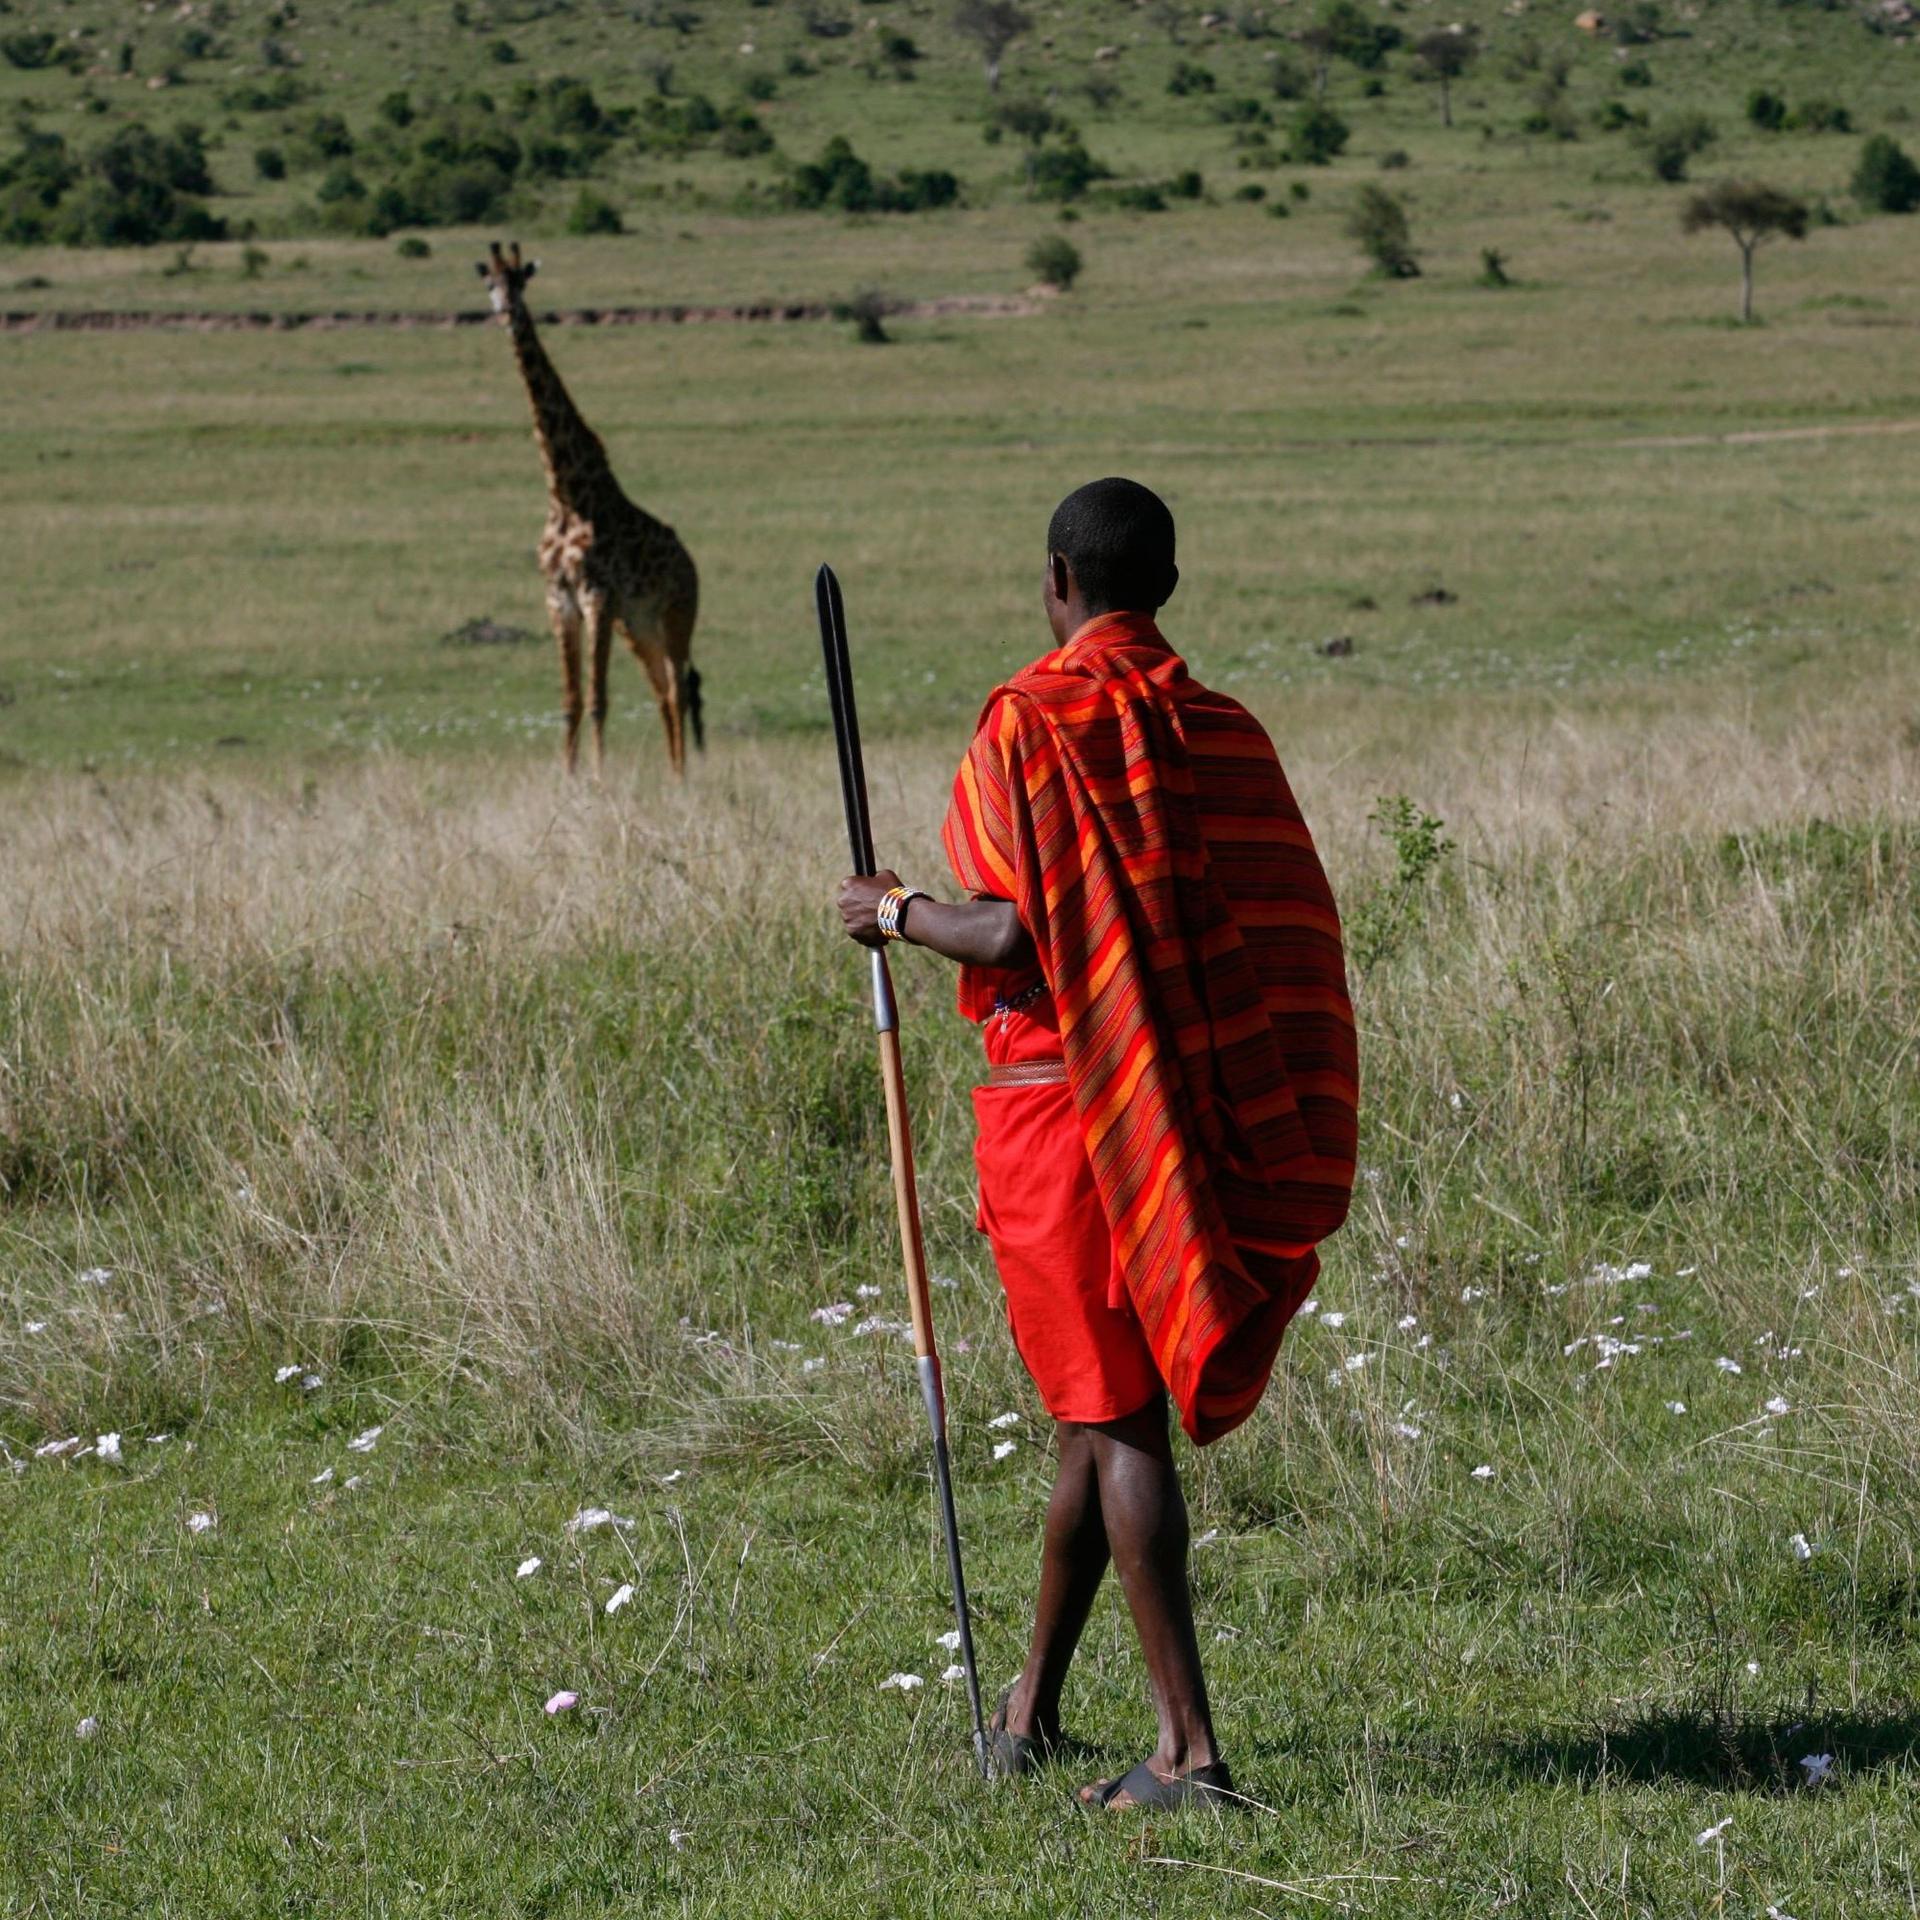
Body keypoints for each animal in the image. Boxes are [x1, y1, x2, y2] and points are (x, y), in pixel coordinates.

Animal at [476, 241, 702, 779]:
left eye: (522, 281)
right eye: (489, 283)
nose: (508, 314)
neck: (565, 494)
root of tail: (692, 564)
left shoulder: (597, 595)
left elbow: (599, 699)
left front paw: (599, 778)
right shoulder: (560, 600)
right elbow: (571, 701)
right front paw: (570, 776)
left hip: (676, 615)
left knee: (679, 688)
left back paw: (682, 777)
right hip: (638, 626)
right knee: (662, 690)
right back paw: (672, 773)